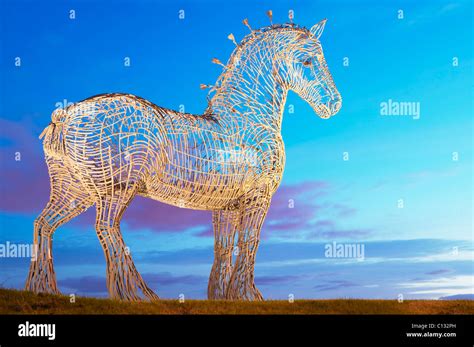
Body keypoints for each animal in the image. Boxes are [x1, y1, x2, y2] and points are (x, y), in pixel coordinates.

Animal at [25, 17, 340, 300]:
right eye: (308, 61)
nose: (333, 104)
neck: (244, 121)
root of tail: (65, 114)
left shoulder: (226, 206)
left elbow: (224, 247)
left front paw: (224, 296)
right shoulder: (257, 198)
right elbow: (250, 241)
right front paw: (249, 295)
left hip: (74, 190)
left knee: (44, 224)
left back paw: (43, 289)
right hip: (114, 190)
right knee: (106, 228)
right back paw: (136, 294)